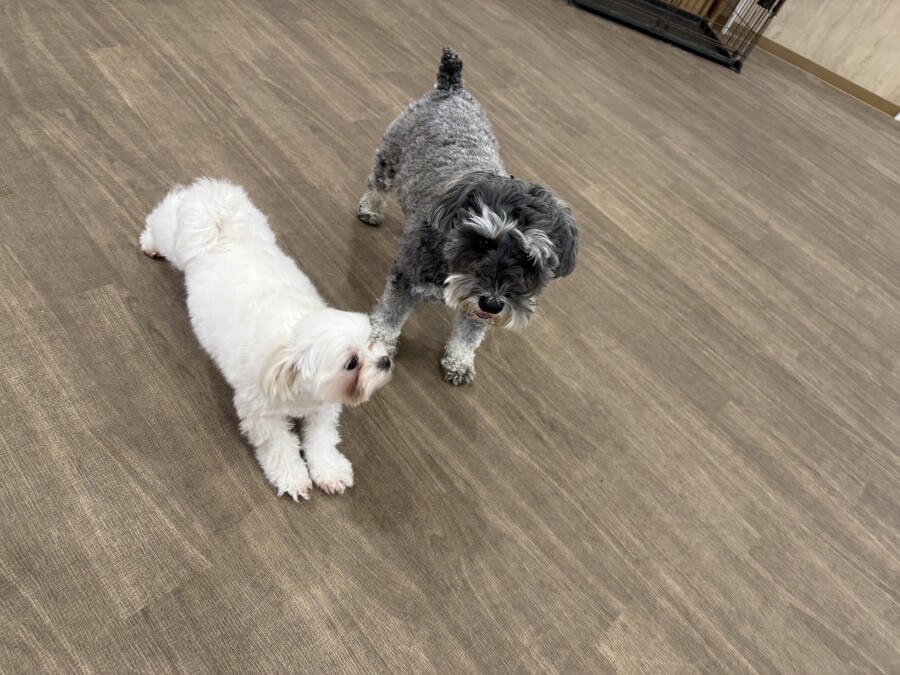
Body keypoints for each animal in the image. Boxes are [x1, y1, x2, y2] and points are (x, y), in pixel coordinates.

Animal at [141, 178, 392, 500]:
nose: (385, 361)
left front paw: (329, 471)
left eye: (372, 341)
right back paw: (149, 241)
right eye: (351, 363)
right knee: (164, 219)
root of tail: (220, 220)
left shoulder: (323, 407)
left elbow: (322, 440)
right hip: (177, 242)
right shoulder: (261, 414)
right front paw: (292, 477)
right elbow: (280, 446)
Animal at [357, 48, 578, 385]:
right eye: (483, 241)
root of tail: (452, 89)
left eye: (529, 258)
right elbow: (390, 317)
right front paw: (379, 344)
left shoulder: (478, 307)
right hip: (390, 157)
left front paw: (459, 361)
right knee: (377, 184)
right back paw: (370, 208)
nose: (493, 302)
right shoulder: (405, 281)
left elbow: (469, 334)